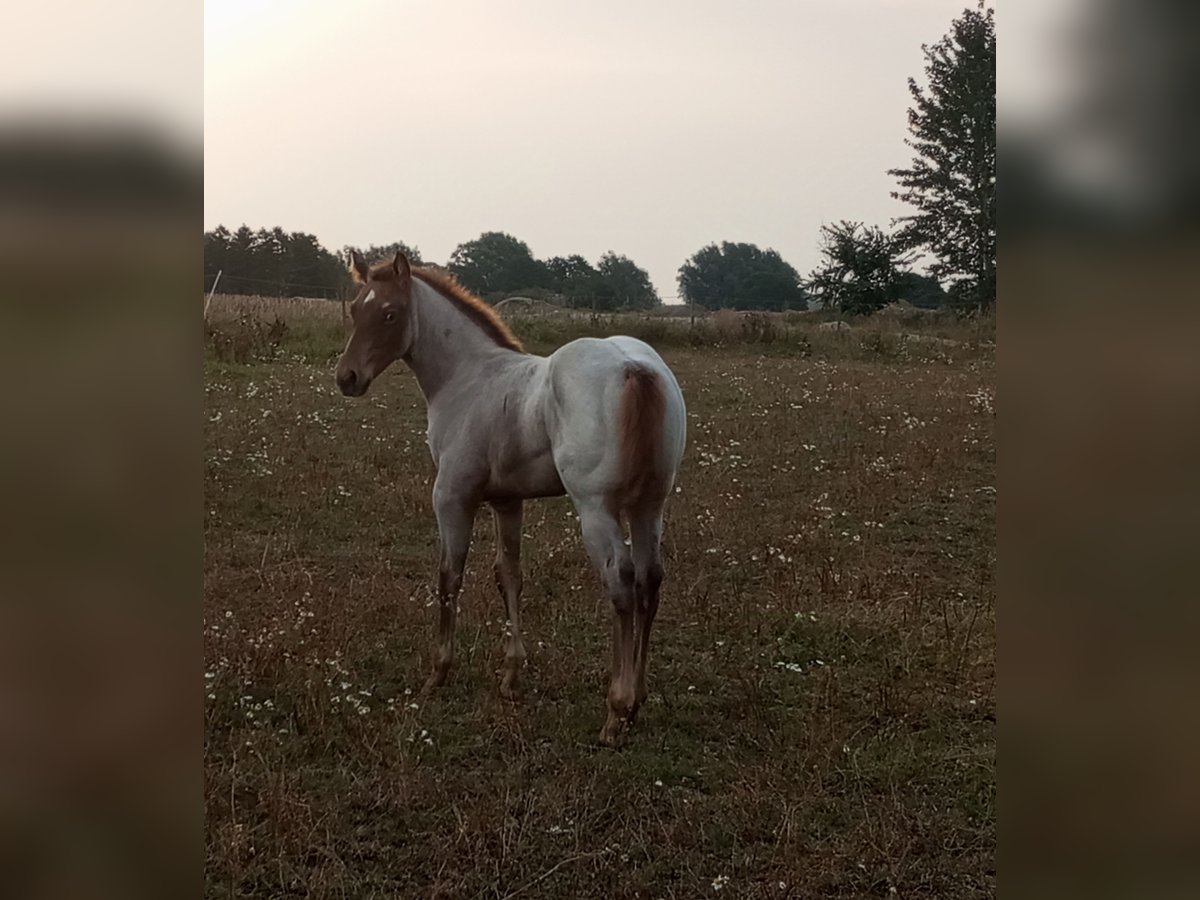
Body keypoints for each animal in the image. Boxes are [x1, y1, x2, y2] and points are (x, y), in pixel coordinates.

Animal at [333, 248, 686, 748]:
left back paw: (616, 712)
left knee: (620, 582)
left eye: (390, 313)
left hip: (596, 509)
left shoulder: (452, 496)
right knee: (650, 581)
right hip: (650, 504)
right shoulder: (507, 501)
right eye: (353, 309)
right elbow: (510, 576)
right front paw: (511, 675)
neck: (468, 378)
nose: (347, 378)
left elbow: (449, 577)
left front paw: (438, 673)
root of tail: (634, 368)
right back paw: (637, 699)